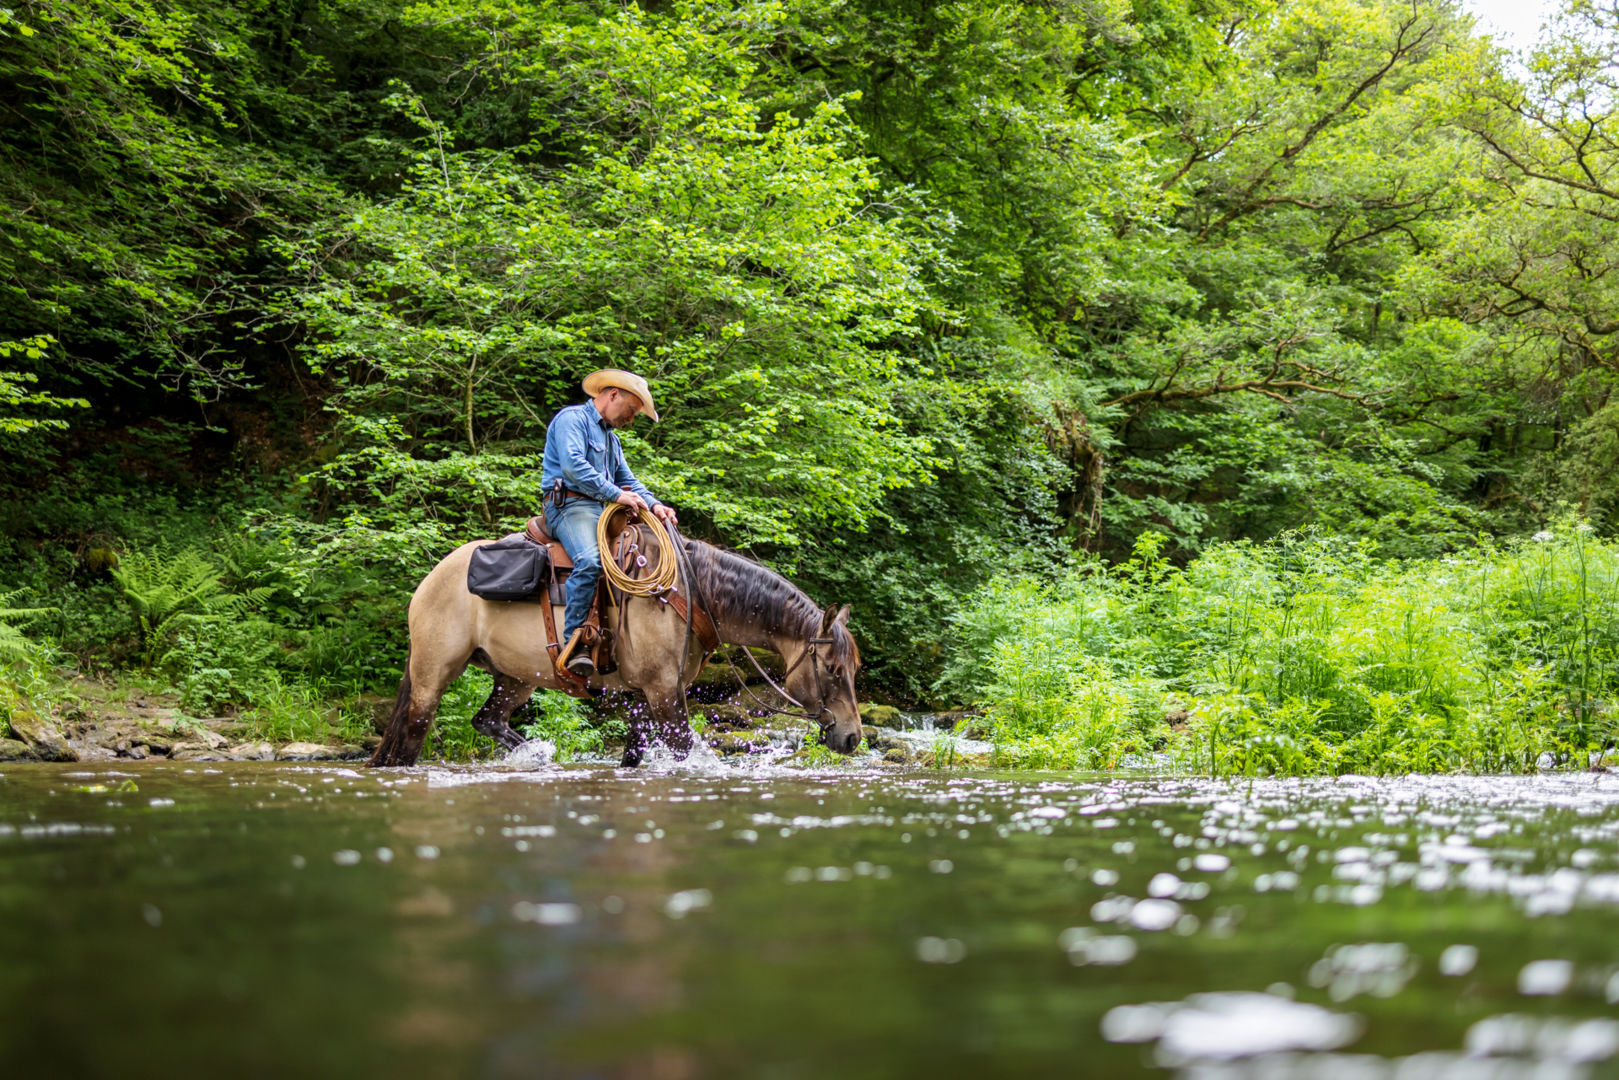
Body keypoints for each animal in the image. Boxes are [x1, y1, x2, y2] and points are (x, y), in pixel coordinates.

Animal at [369, 518, 867, 764]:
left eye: (854, 670)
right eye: (832, 670)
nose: (852, 737)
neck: (691, 593)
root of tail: (430, 580)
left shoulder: (649, 694)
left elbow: (633, 754)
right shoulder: (665, 692)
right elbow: (686, 751)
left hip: (515, 677)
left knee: (487, 720)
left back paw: (534, 754)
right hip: (432, 674)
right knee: (412, 738)